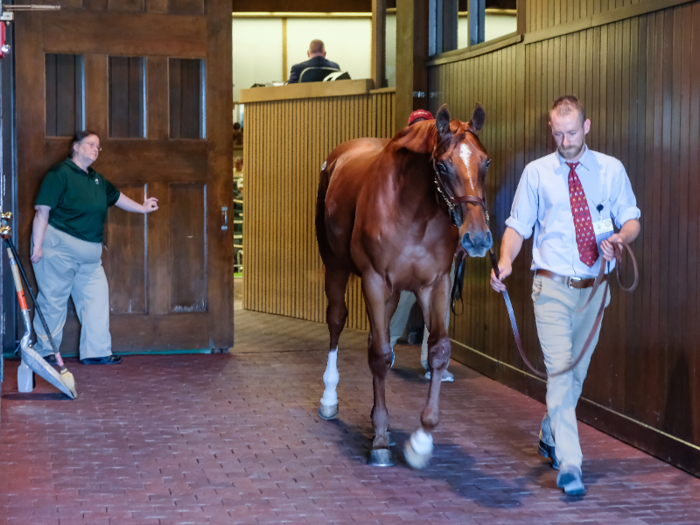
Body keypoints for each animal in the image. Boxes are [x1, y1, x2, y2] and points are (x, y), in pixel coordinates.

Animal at [318, 103, 492, 466]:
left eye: (485, 162)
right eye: (442, 165)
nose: (478, 238)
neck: (414, 212)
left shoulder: (435, 283)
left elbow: (438, 351)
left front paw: (421, 440)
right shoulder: (374, 280)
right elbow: (380, 355)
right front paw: (381, 441)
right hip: (336, 267)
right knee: (337, 321)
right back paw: (329, 398)